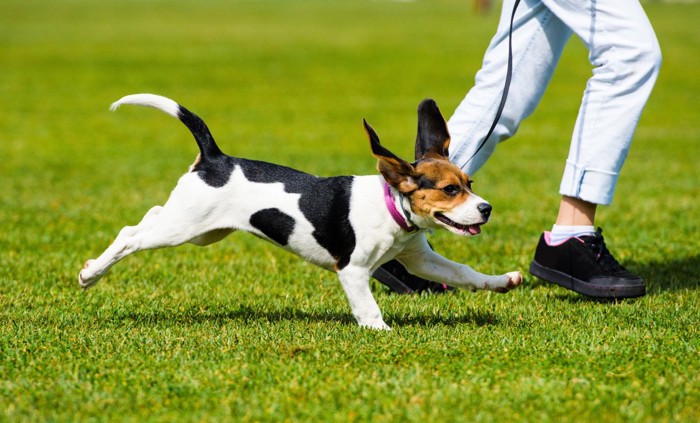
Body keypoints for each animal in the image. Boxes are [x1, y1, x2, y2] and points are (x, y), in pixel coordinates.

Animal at [80, 96, 520, 332]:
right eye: (450, 190)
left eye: (470, 183)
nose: (486, 209)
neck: (392, 205)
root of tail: (215, 157)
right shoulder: (353, 271)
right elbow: (368, 306)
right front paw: (381, 330)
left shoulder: (421, 259)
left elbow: (464, 273)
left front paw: (502, 281)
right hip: (182, 228)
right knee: (129, 235)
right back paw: (90, 273)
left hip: (201, 228)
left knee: (149, 215)